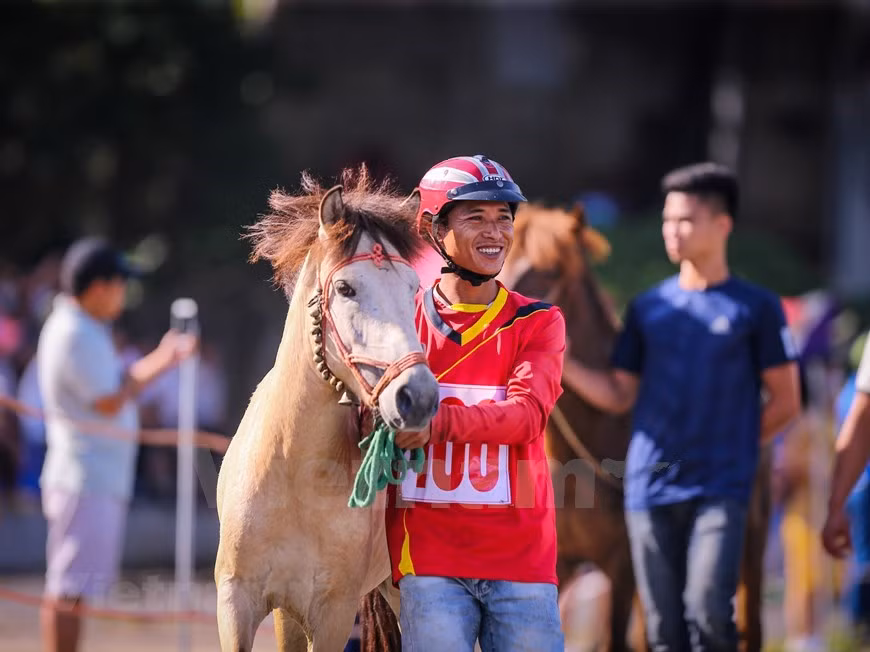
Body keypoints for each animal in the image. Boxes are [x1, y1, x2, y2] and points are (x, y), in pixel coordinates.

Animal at [214, 167, 439, 652]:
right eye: (345, 287)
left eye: (413, 289)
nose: (419, 397)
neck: (293, 465)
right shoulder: (239, 600)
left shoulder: (333, 611)